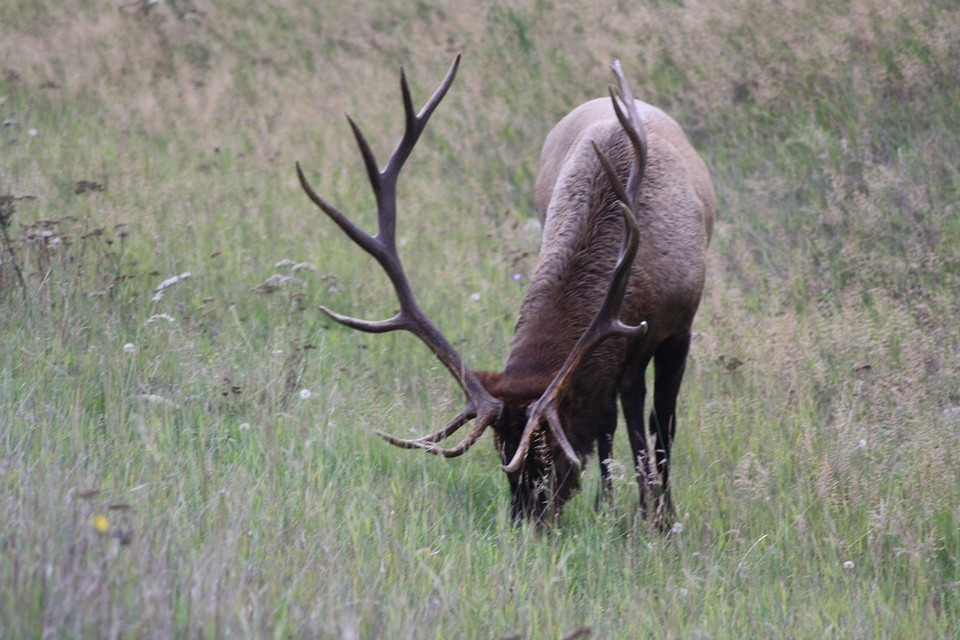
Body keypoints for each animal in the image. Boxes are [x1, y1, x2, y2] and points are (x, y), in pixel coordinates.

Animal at [296, 55, 715, 527]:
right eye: (500, 450)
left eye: (554, 452)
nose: (526, 522)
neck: (635, 282)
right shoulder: (618, 353)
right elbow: (611, 418)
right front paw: (615, 508)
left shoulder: (680, 322)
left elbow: (663, 423)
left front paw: (662, 518)